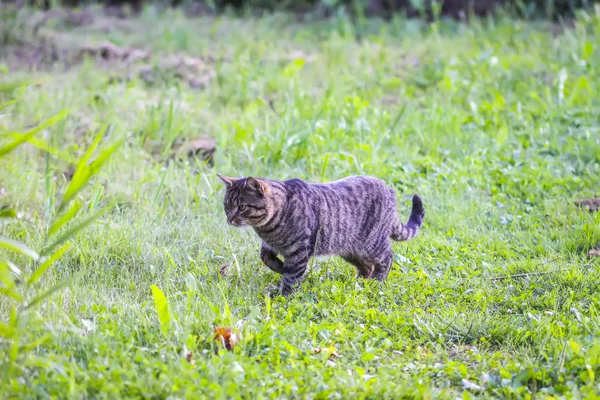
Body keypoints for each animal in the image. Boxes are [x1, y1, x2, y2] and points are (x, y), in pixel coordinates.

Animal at [218, 173, 424, 296]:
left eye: (242, 207)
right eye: (226, 206)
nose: (229, 219)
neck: (268, 229)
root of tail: (389, 190)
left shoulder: (299, 251)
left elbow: (292, 278)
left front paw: (283, 296)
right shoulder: (271, 246)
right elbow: (266, 258)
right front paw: (280, 267)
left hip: (372, 244)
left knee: (387, 258)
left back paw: (376, 282)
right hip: (350, 250)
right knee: (367, 267)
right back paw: (360, 283)